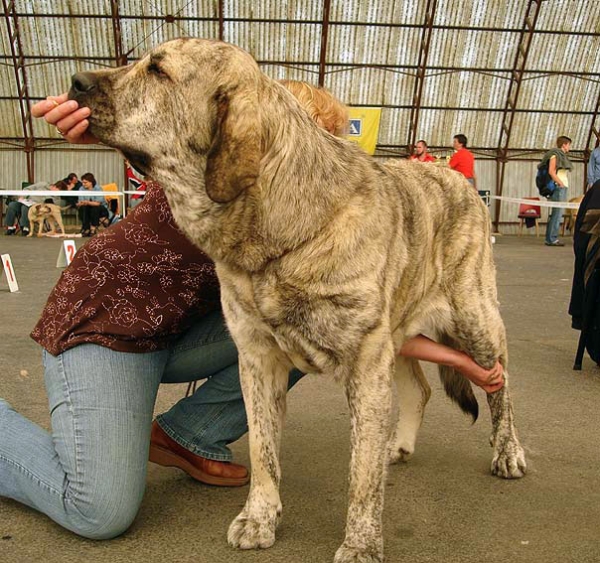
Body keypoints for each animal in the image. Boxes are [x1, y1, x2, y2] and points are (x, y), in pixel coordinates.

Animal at [69, 38, 524, 563]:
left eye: (158, 71)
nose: (75, 83)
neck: (286, 228)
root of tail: (458, 181)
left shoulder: (366, 365)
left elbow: (362, 475)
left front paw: (361, 543)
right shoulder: (258, 359)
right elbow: (264, 451)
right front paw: (260, 518)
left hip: (475, 320)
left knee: (500, 382)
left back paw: (508, 451)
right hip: (403, 332)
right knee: (422, 389)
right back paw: (400, 444)